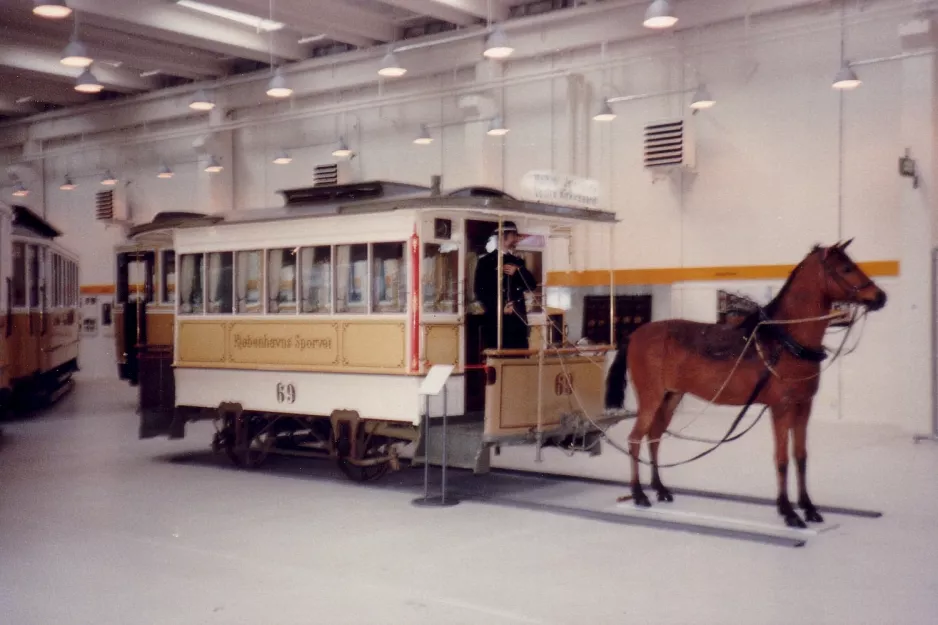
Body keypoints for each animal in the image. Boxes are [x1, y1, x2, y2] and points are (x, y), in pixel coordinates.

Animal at [608, 240, 884, 528]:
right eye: (846, 268)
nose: (880, 297)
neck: (786, 340)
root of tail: (635, 334)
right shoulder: (781, 408)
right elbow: (782, 459)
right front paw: (789, 512)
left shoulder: (803, 406)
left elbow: (801, 457)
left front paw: (809, 508)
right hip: (650, 397)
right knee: (635, 438)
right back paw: (639, 494)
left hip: (671, 397)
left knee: (654, 437)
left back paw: (660, 489)